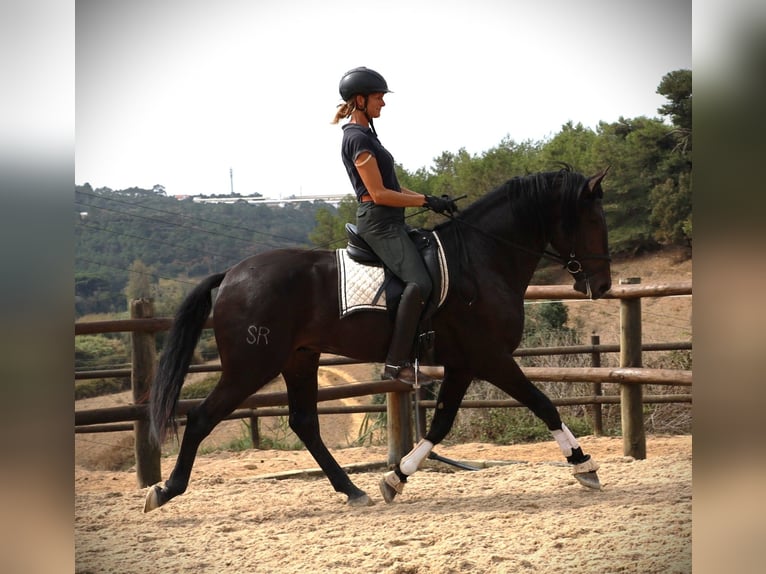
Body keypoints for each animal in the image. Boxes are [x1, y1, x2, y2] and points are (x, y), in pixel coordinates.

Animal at [142, 165, 612, 512]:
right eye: (592, 219)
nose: (603, 285)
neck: (481, 261)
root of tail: (232, 275)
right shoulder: (490, 357)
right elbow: (542, 403)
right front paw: (583, 465)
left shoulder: (464, 363)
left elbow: (442, 423)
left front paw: (395, 478)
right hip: (251, 366)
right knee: (201, 418)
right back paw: (164, 491)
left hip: (299, 359)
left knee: (304, 423)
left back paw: (353, 491)